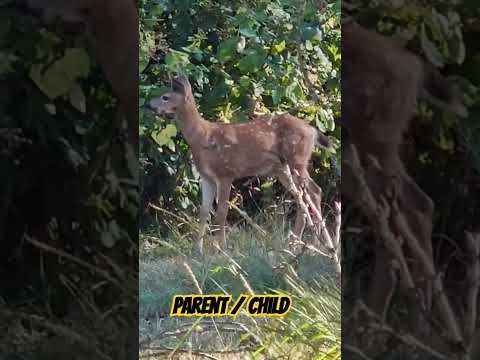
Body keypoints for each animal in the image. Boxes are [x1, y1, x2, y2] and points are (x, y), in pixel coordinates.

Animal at [148, 76, 332, 256]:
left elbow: (221, 212)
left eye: (165, 97)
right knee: (302, 195)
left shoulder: (225, 172)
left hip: (297, 159)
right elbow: (203, 212)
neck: (202, 138)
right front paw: (197, 250)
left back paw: (318, 243)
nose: (149, 105)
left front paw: (220, 248)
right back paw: (297, 242)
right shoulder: (207, 178)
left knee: (314, 191)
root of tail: (313, 131)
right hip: (283, 168)